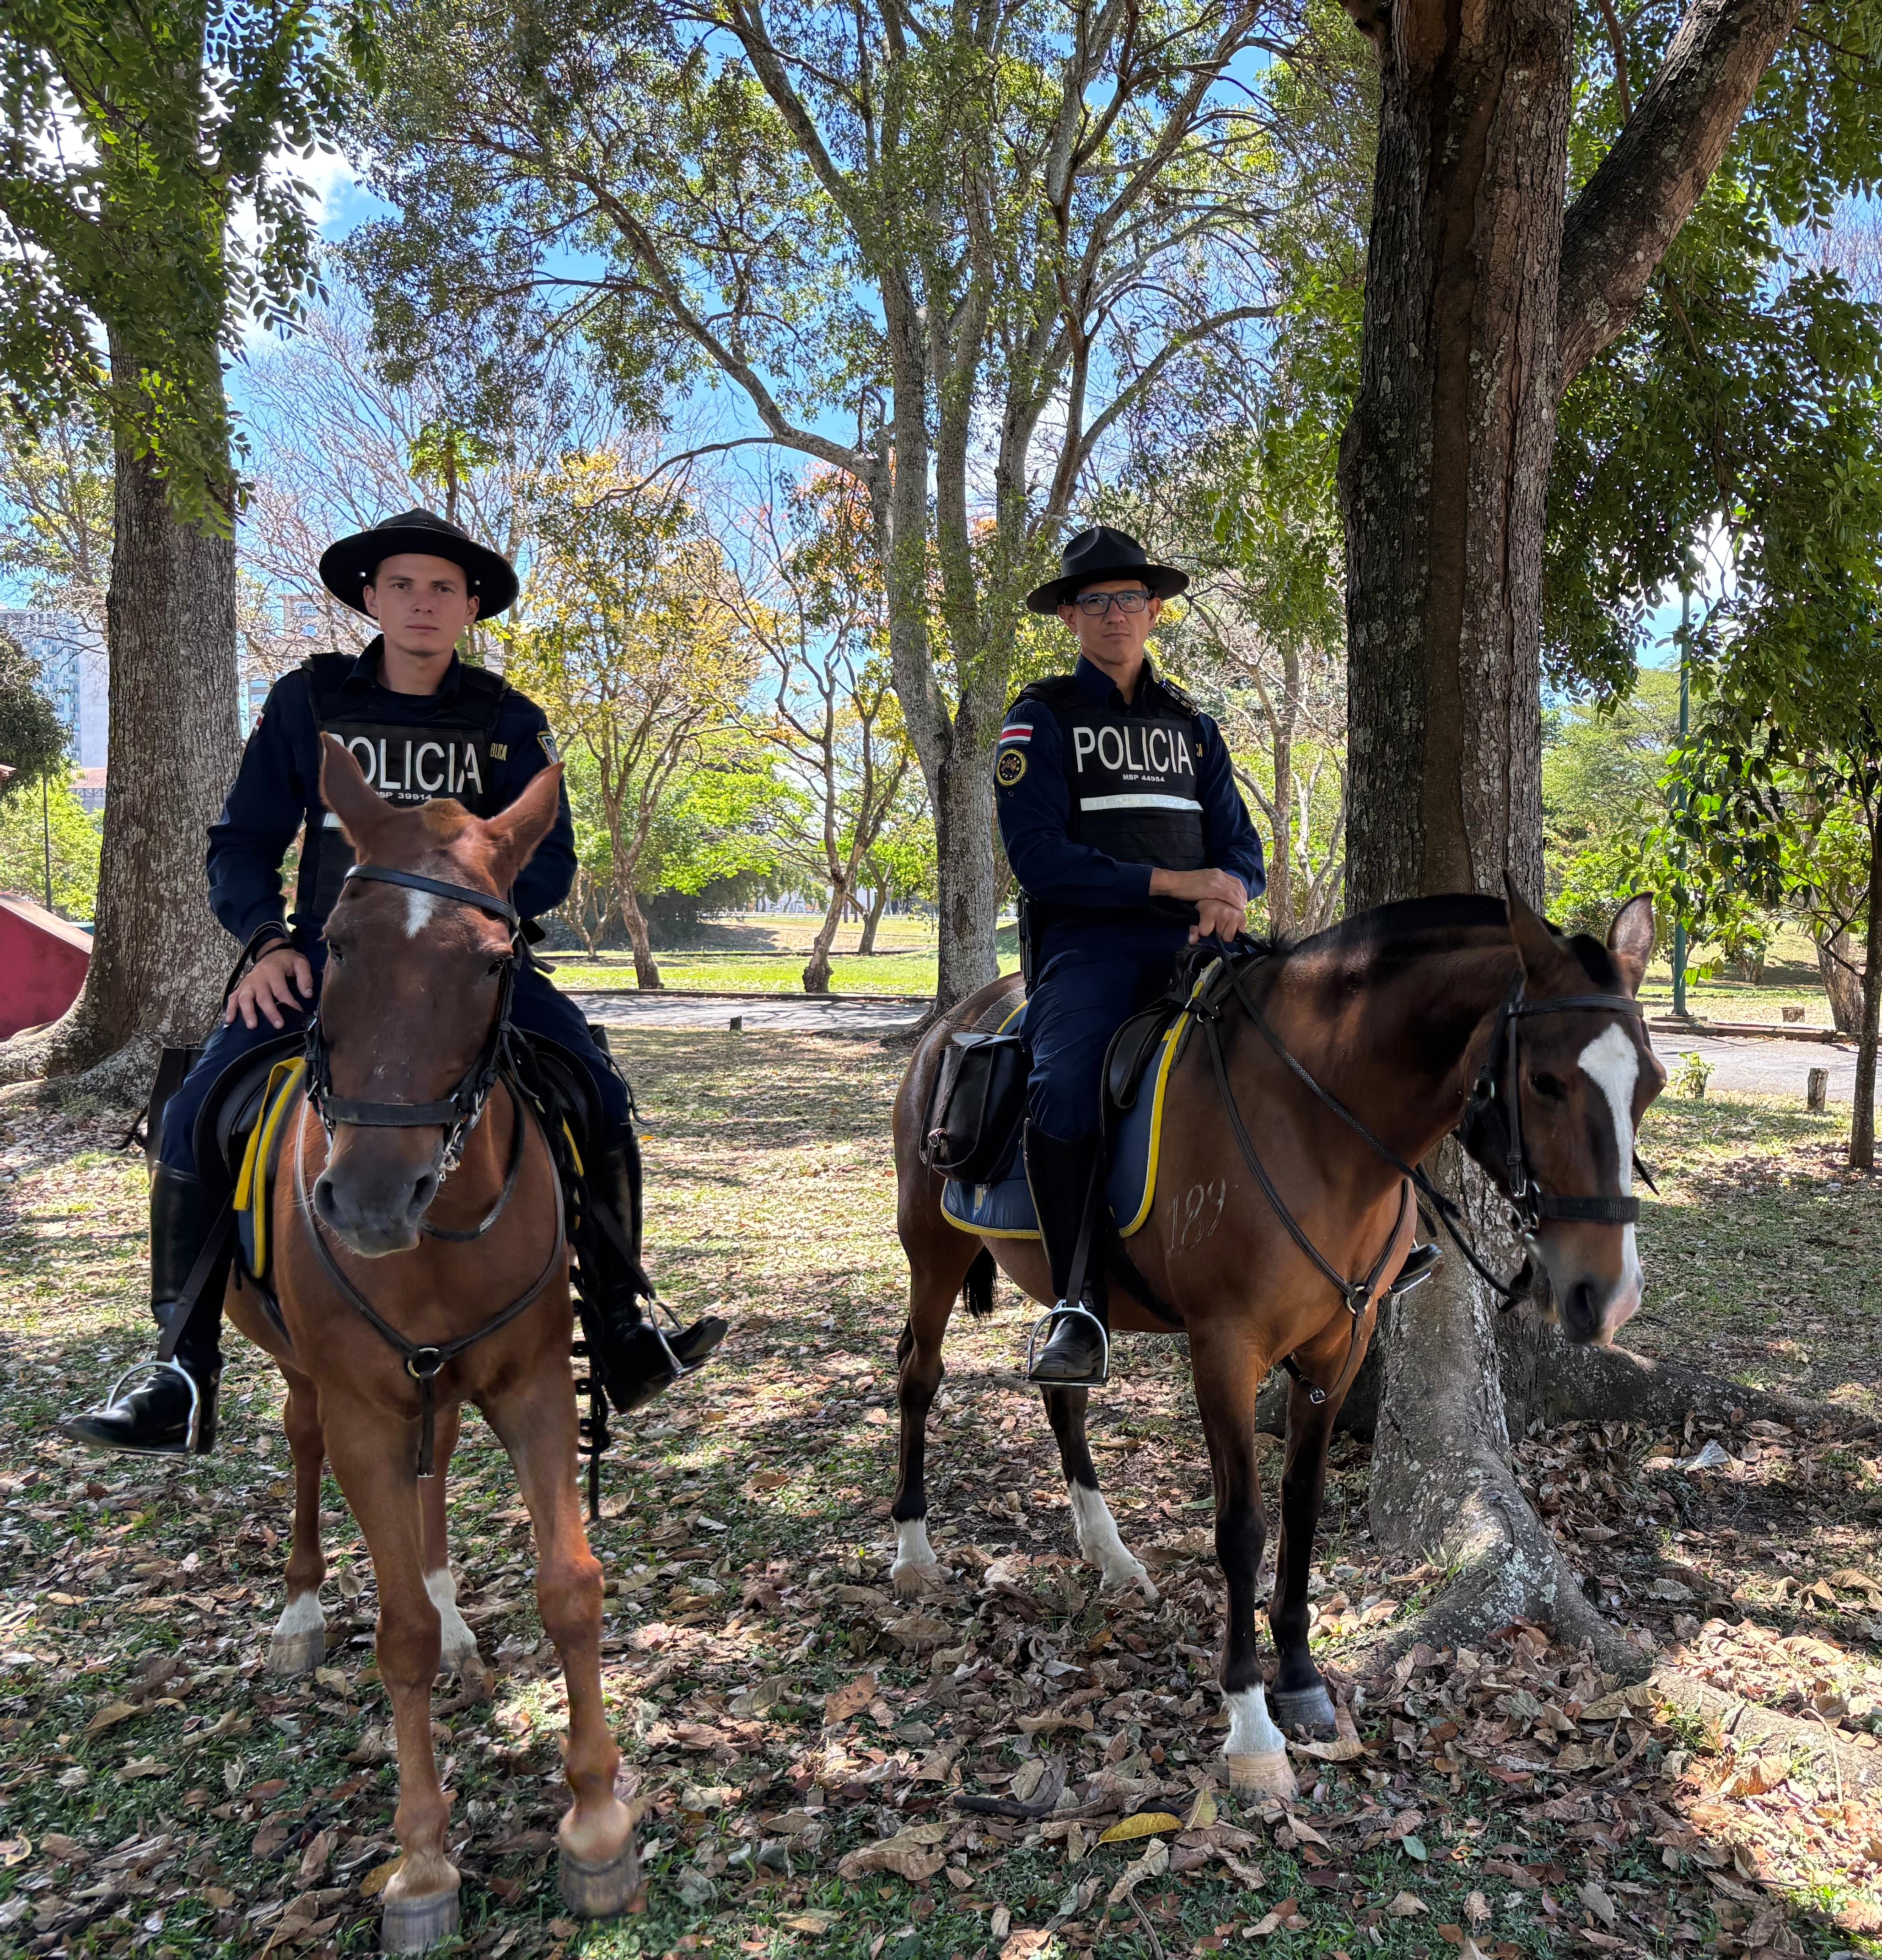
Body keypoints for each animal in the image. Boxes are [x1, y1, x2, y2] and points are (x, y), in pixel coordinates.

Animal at [225, 737, 639, 1944]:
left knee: (434, 1474)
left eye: (496, 963)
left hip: (443, 1390)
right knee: (305, 1448)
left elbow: (569, 1586)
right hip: (307, 1379)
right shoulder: (364, 1406)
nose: (369, 1200)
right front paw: (419, 1863)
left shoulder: (533, 1383)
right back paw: (299, 1612)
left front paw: (596, 1822)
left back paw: (459, 1626)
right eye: (334, 944)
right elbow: (394, 1632)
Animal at [886, 889, 1662, 1795]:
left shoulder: (1341, 1344)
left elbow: (1302, 1503)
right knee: (918, 1374)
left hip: (1059, 1278)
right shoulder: (1225, 1349)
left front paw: (1297, 1675)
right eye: (1543, 1081)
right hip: (933, 1250)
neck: (1314, 1124)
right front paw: (1250, 1720)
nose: (1609, 1293)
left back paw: (1110, 1555)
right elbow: (1243, 1525)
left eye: (1649, 1085)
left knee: (1060, 1388)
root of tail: (956, 1021)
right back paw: (912, 1549)